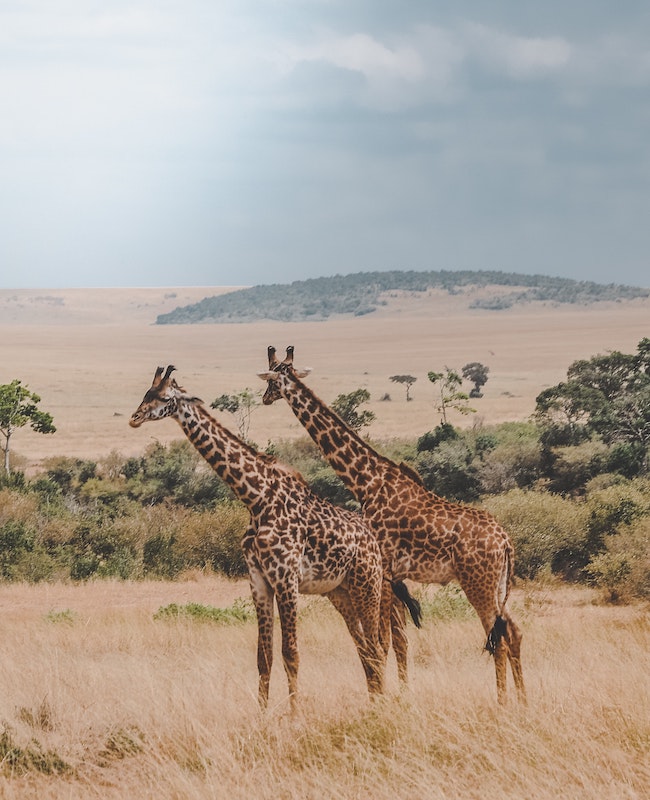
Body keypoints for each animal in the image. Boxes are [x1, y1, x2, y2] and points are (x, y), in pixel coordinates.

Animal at [130, 366, 388, 708]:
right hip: (340, 592)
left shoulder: (287, 578)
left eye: (163, 397)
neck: (256, 498)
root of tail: (373, 542)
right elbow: (263, 657)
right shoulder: (259, 581)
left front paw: (294, 715)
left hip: (367, 585)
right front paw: (262, 715)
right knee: (365, 649)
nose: (134, 418)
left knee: (377, 648)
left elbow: (291, 653)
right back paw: (374, 705)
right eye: (146, 392)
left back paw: (383, 706)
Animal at [256, 346, 524, 704]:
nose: (264, 399)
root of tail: (506, 543)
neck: (365, 480)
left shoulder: (382, 570)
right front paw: (401, 694)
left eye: (272, 380)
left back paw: (502, 702)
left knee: (497, 638)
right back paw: (523, 700)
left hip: (477, 583)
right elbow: (399, 640)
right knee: (514, 631)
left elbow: (382, 642)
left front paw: (385, 697)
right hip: (497, 585)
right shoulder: (395, 575)